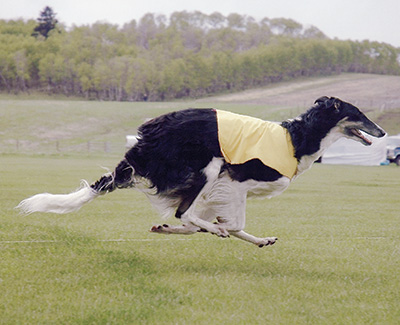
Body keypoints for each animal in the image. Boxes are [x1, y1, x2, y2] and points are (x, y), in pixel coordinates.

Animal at [17, 95, 386, 246]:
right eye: (358, 113)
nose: (383, 132)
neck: (296, 139)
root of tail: (142, 141)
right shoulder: (233, 182)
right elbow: (229, 224)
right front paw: (220, 230)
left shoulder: (219, 190)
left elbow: (211, 223)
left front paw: (257, 239)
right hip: (208, 166)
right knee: (185, 212)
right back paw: (208, 229)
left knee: (186, 216)